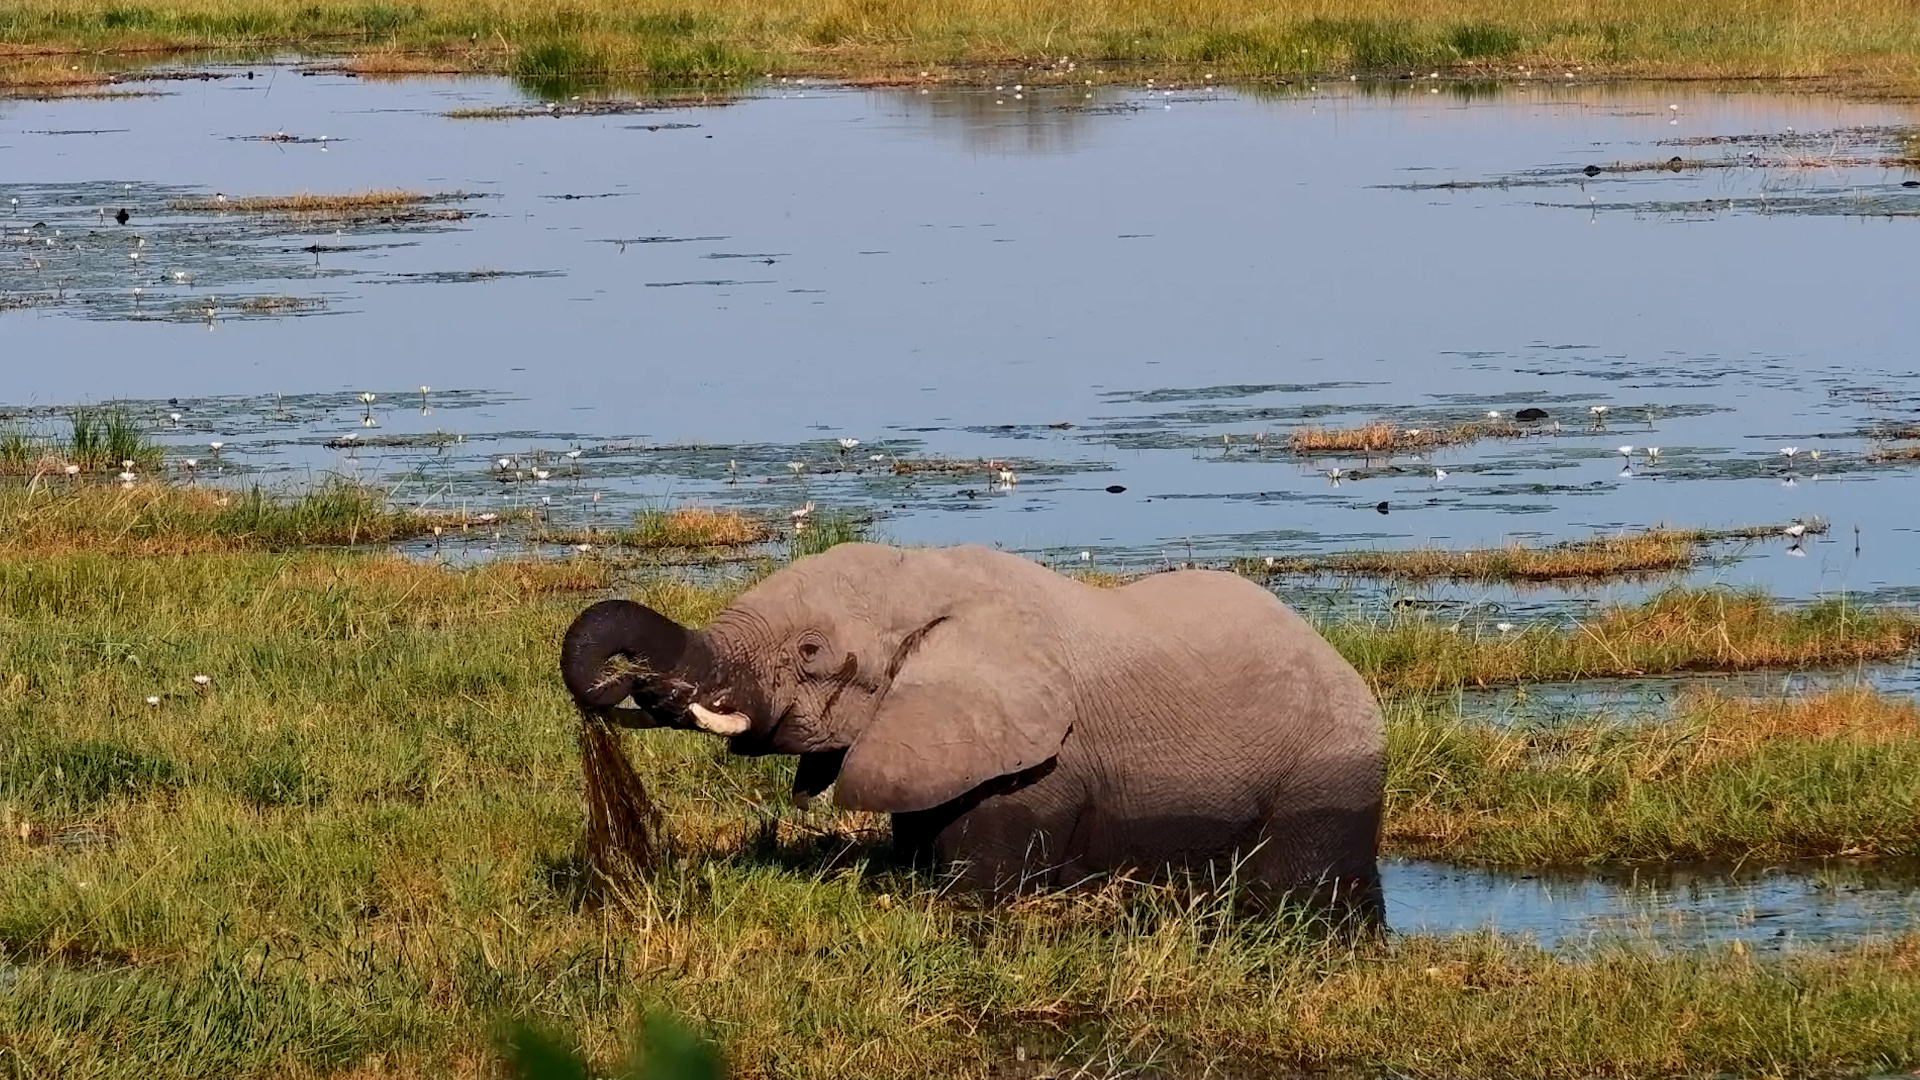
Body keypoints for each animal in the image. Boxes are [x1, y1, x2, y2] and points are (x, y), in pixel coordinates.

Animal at [560, 542, 1386, 924]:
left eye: (811, 652)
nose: (635, 684)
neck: (927, 578)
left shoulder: (1037, 764)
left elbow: (980, 886)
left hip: (1326, 775)